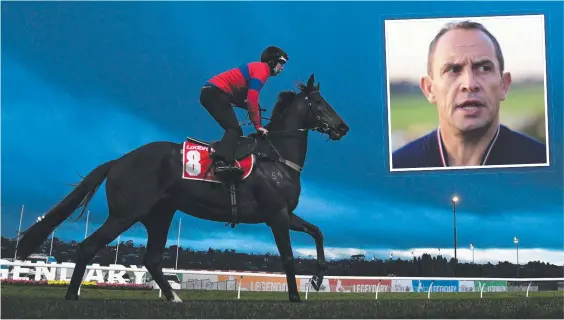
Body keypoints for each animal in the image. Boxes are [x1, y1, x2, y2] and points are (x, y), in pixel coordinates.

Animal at [16, 74, 348, 304]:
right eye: (320, 104)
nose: (343, 128)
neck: (277, 158)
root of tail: (119, 161)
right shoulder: (276, 215)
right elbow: (289, 256)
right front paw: (295, 297)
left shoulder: (285, 214)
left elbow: (318, 233)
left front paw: (317, 279)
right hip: (125, 214)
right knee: (88, 246)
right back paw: (73, 296)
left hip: (159, 215)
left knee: (151, 259)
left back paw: (175, 297)